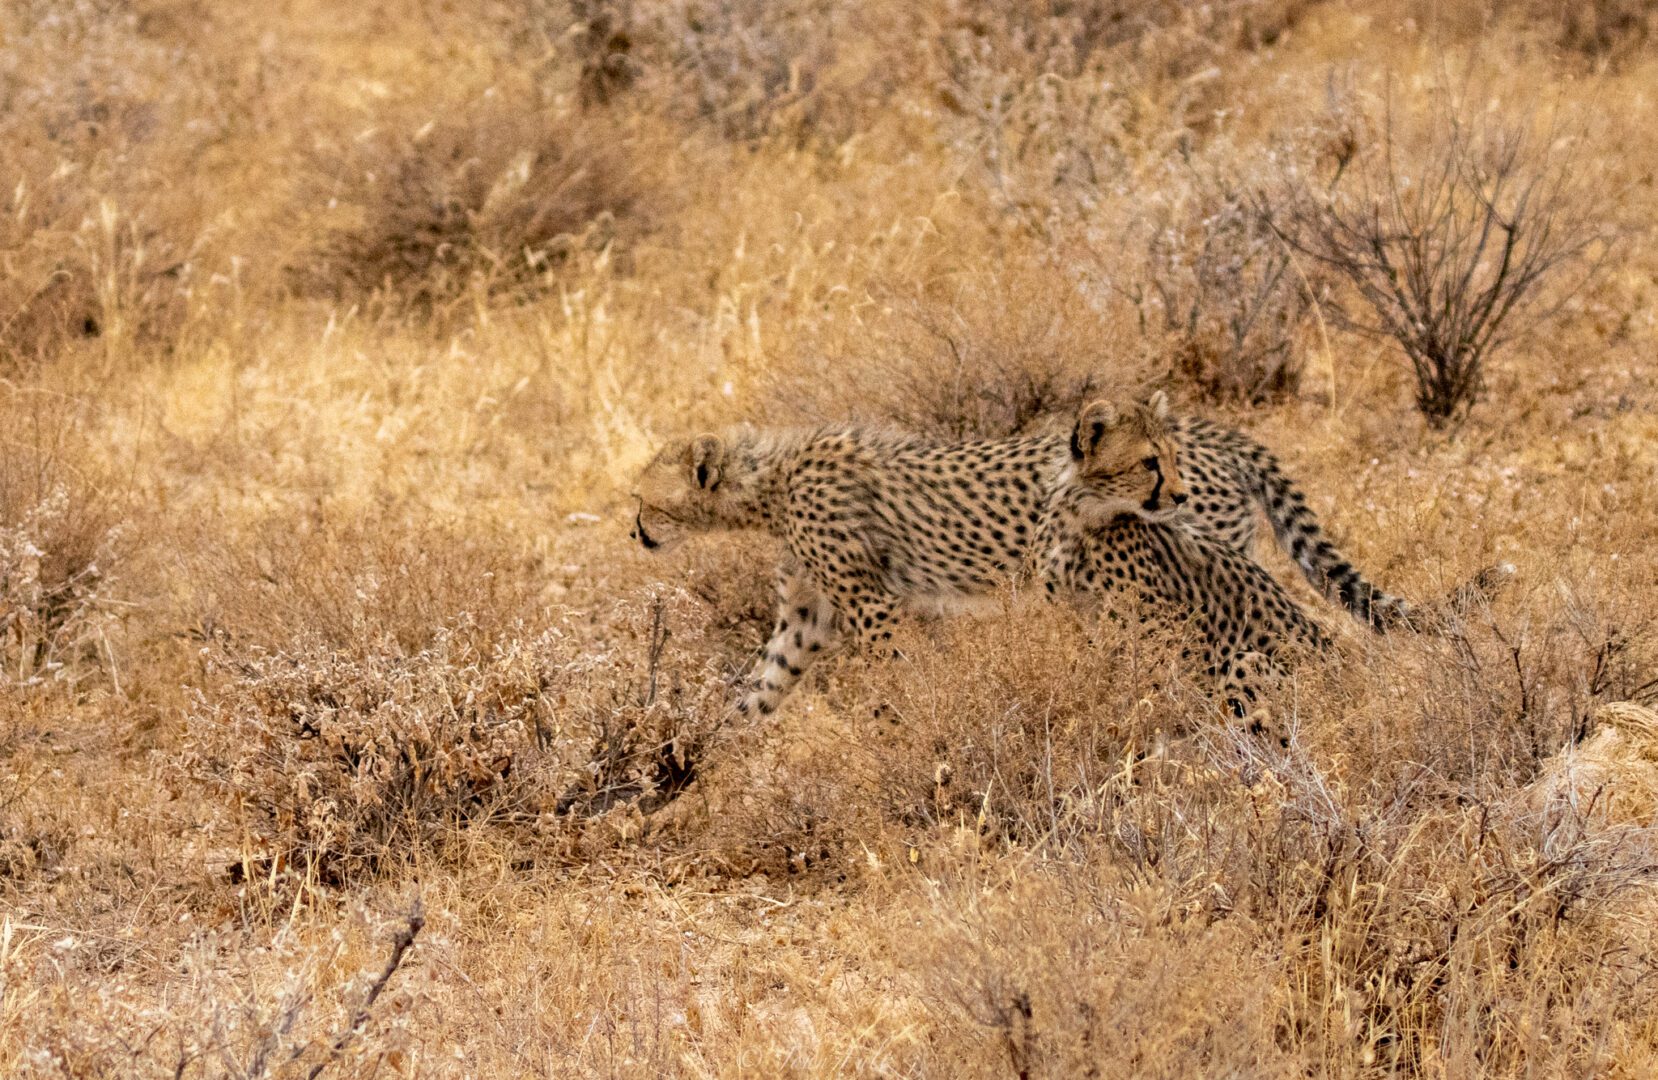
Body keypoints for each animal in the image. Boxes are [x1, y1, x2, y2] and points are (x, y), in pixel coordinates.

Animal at [626, 393, 1405, 713]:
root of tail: (1216, 432)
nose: (635, 532)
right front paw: (697, 772)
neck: (771, 482)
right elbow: (759, 689)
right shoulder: (809, 617)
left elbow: (895, 684)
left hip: (1196, 561)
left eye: (644, 501)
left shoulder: (873, 608)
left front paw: (908, 740)